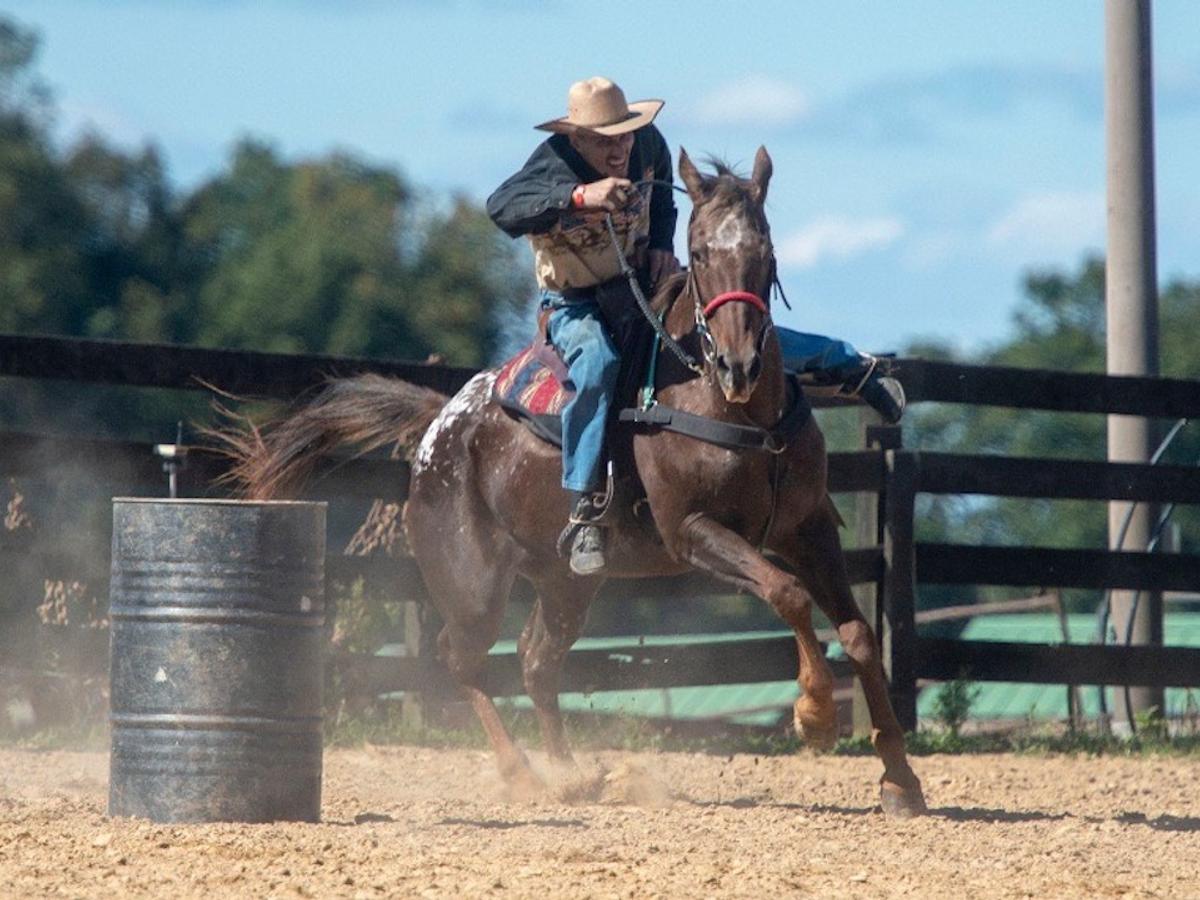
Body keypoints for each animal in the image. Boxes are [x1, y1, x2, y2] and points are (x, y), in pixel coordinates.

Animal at [229, 146, 931, 816]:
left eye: (766, 250)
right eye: (702, 253)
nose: (739, 365)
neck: (735, 411)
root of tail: (439, 427)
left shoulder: (806, 528)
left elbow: (858, 633)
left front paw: (900, 779)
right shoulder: (692, 531)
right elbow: (787, 594)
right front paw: (816, 716)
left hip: (565, 580)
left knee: (538, 662)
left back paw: (571, 776)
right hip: (472, 584)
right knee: (463, 658)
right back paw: (522, 773)